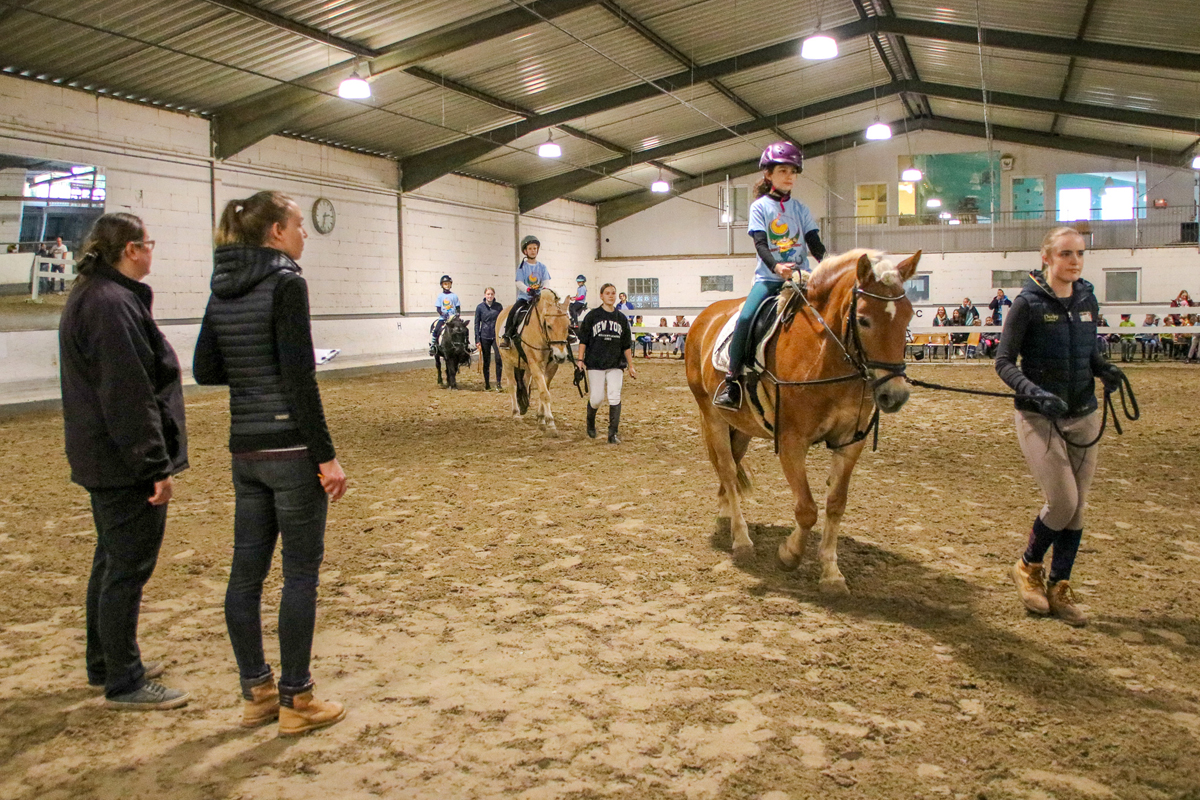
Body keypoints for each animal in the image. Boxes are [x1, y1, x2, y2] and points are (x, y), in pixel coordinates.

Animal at [494, 289, 573, 438]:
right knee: (512, 385)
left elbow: (544, 390)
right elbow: (545, 394)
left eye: (568, 326)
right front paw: (551, 424)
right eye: (549, 326)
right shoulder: (535, 364)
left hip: (527, 366)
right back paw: (516, 414)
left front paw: (541, 419)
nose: (561, 357)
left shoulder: (551, 367)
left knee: (525, 382)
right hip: (507, 361)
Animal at [686, 250, 916, 594]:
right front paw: (789, 554)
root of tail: (705, 317)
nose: (895, 394)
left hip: (741, 426)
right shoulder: (792, 441)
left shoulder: (851, 442)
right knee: (727, 468)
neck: (826, 356)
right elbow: (807, 509)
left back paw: (727, 514)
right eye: (863, 319)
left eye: (908, 316)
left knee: (732, 468)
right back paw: (742, 540)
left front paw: (832, 573)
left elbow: (835, 504)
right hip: (712, 416)